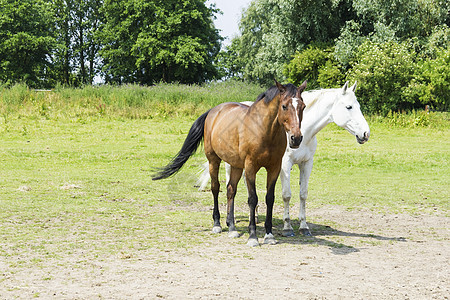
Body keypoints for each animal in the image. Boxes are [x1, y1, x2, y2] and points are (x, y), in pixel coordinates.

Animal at [153, 79, 308, 246]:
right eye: (284, 106)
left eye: (303, 106)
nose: (296, 138)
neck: (263, 129)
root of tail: (213, 111)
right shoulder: (250, 167)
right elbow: (252, 199)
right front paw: (252, 236)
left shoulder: (274, 167)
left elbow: (269, 198)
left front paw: (269, 235)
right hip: (214, 160)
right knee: (215, 188)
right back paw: (217, 224)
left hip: (236, 165)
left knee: (230, 190)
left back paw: (232, 227)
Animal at [197, 82, 370, 237]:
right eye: (349, 107)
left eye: (358, 106)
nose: (365, 133)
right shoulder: (284, 165)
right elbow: (286, 195)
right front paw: (287, 228)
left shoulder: (307, 163)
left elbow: (303, 194)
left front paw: (304, 227)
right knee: (227, 187)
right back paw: (225, 222)